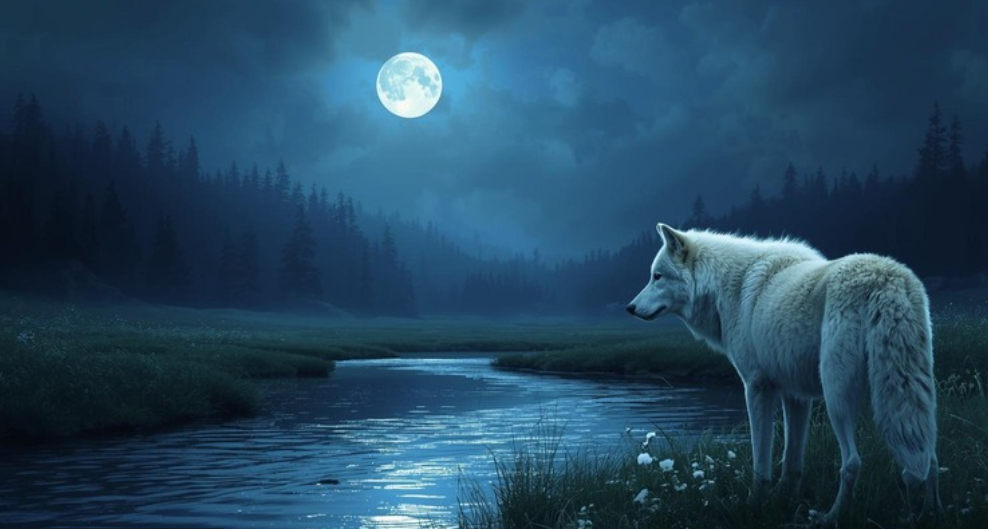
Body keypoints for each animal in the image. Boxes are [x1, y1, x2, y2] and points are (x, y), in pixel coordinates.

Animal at [627, 223, 942, 523]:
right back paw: (929, 513)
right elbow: (792, 463)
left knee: (852, 463)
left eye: (657, 276)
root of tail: (887, 278)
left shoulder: (756, 387)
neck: (727, 286)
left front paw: (755, 504)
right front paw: (784, 499)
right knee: (930, 457)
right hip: (914, 394)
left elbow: (761, 462)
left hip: (836, 398)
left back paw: (830, 517)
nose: (629, 308)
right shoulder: (797, 396)